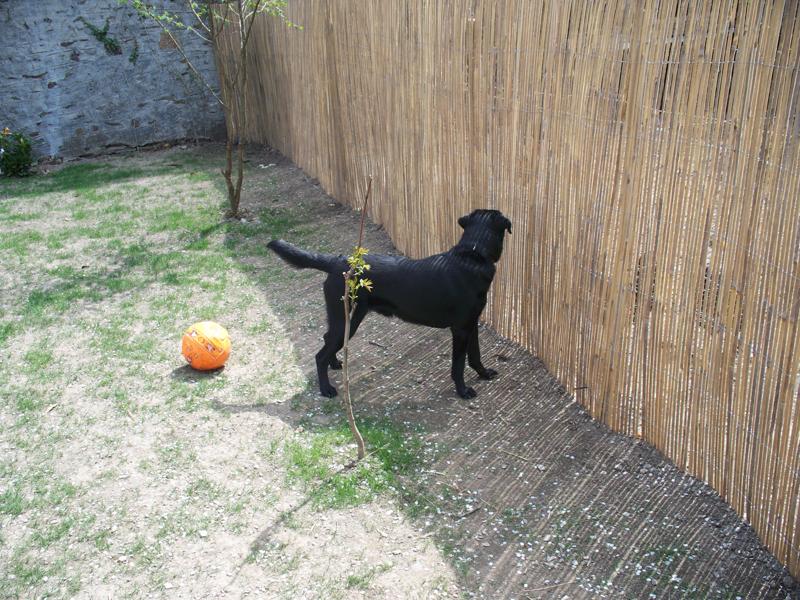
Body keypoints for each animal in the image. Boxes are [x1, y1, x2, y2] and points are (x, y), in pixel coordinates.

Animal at [266, 209, 510, 400]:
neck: (472, 254)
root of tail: (337, 262)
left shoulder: (471, 324)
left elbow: (475, 355)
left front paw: (484, 374)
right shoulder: (460, 329)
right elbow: (458, 365)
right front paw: (463, 391)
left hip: (343, 317)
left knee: (328, 340)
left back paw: (334, 364)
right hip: (348, 318)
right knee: (320, 355)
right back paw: (326, 389)